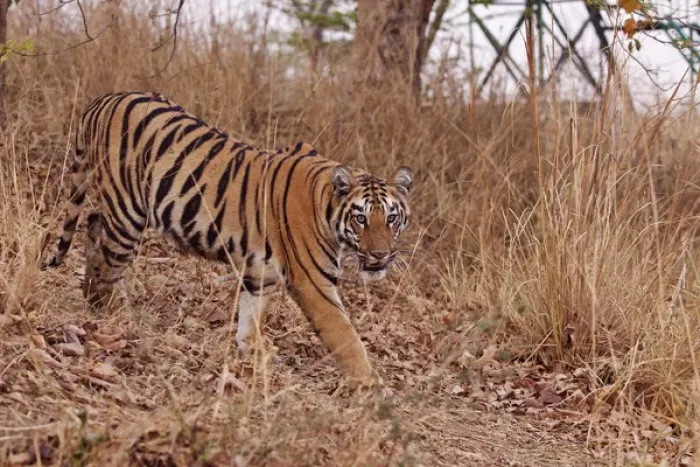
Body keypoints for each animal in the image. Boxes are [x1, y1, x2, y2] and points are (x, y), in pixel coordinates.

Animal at [44, 91, 414, 389]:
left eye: (391, 218)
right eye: (361, 218)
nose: (380, 256)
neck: (326, 208)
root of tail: (101, 100)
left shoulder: (259, 273)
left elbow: (251, 317)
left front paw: (253, 352)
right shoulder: (314, 285)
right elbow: (347, 337)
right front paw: (374, 389)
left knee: (93, 224)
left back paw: (94, 296)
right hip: (127, 210)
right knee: (108, 260)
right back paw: (113, 313)